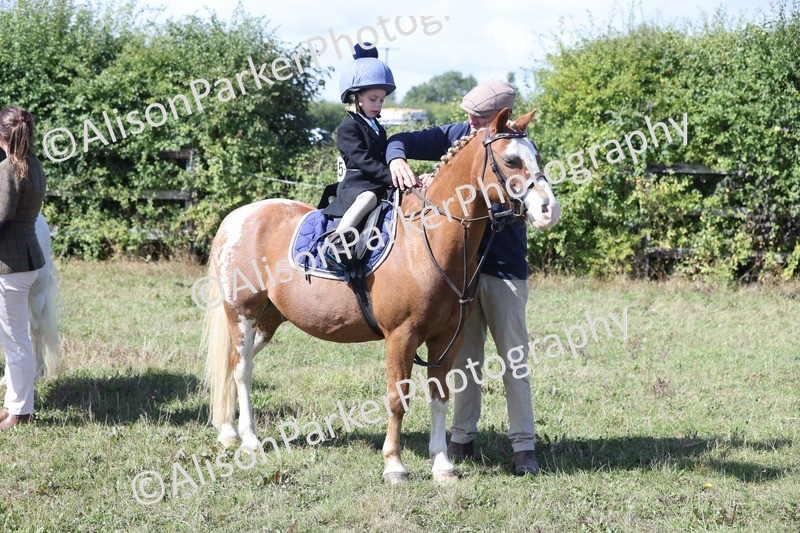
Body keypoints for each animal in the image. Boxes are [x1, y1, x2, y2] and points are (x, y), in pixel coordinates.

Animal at [203, 108, 557, 484]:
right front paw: (394, 465)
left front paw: (442, 464)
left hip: (268, 320)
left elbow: (440, 396)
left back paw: (228, 431)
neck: (426, 240)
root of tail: (239, 216)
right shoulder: (401, 337)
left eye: (537, 157)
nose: (549, 209)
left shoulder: (448, 337)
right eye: (510, 160)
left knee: (233, 365)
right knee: (242, 369)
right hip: (243, 314)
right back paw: (249, 440)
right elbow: (397, 399)